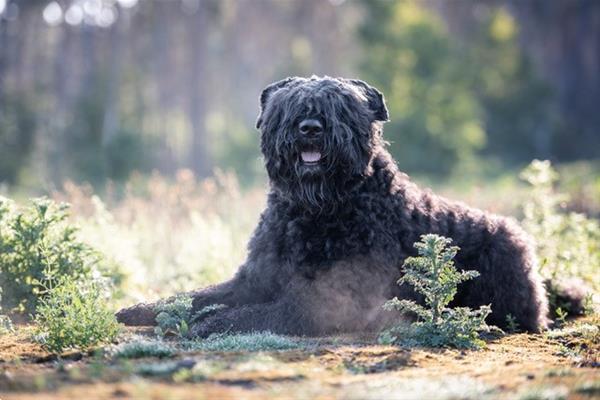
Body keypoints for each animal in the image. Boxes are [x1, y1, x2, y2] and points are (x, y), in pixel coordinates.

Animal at [116, 75, 548, 334]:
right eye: (288, 106)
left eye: (342, 107)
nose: (310, 128)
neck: (316, 210)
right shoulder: (253, 280)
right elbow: (194, 297)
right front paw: (140, 309)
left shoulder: (329, 301)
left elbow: (255, 312)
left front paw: (209, 325)